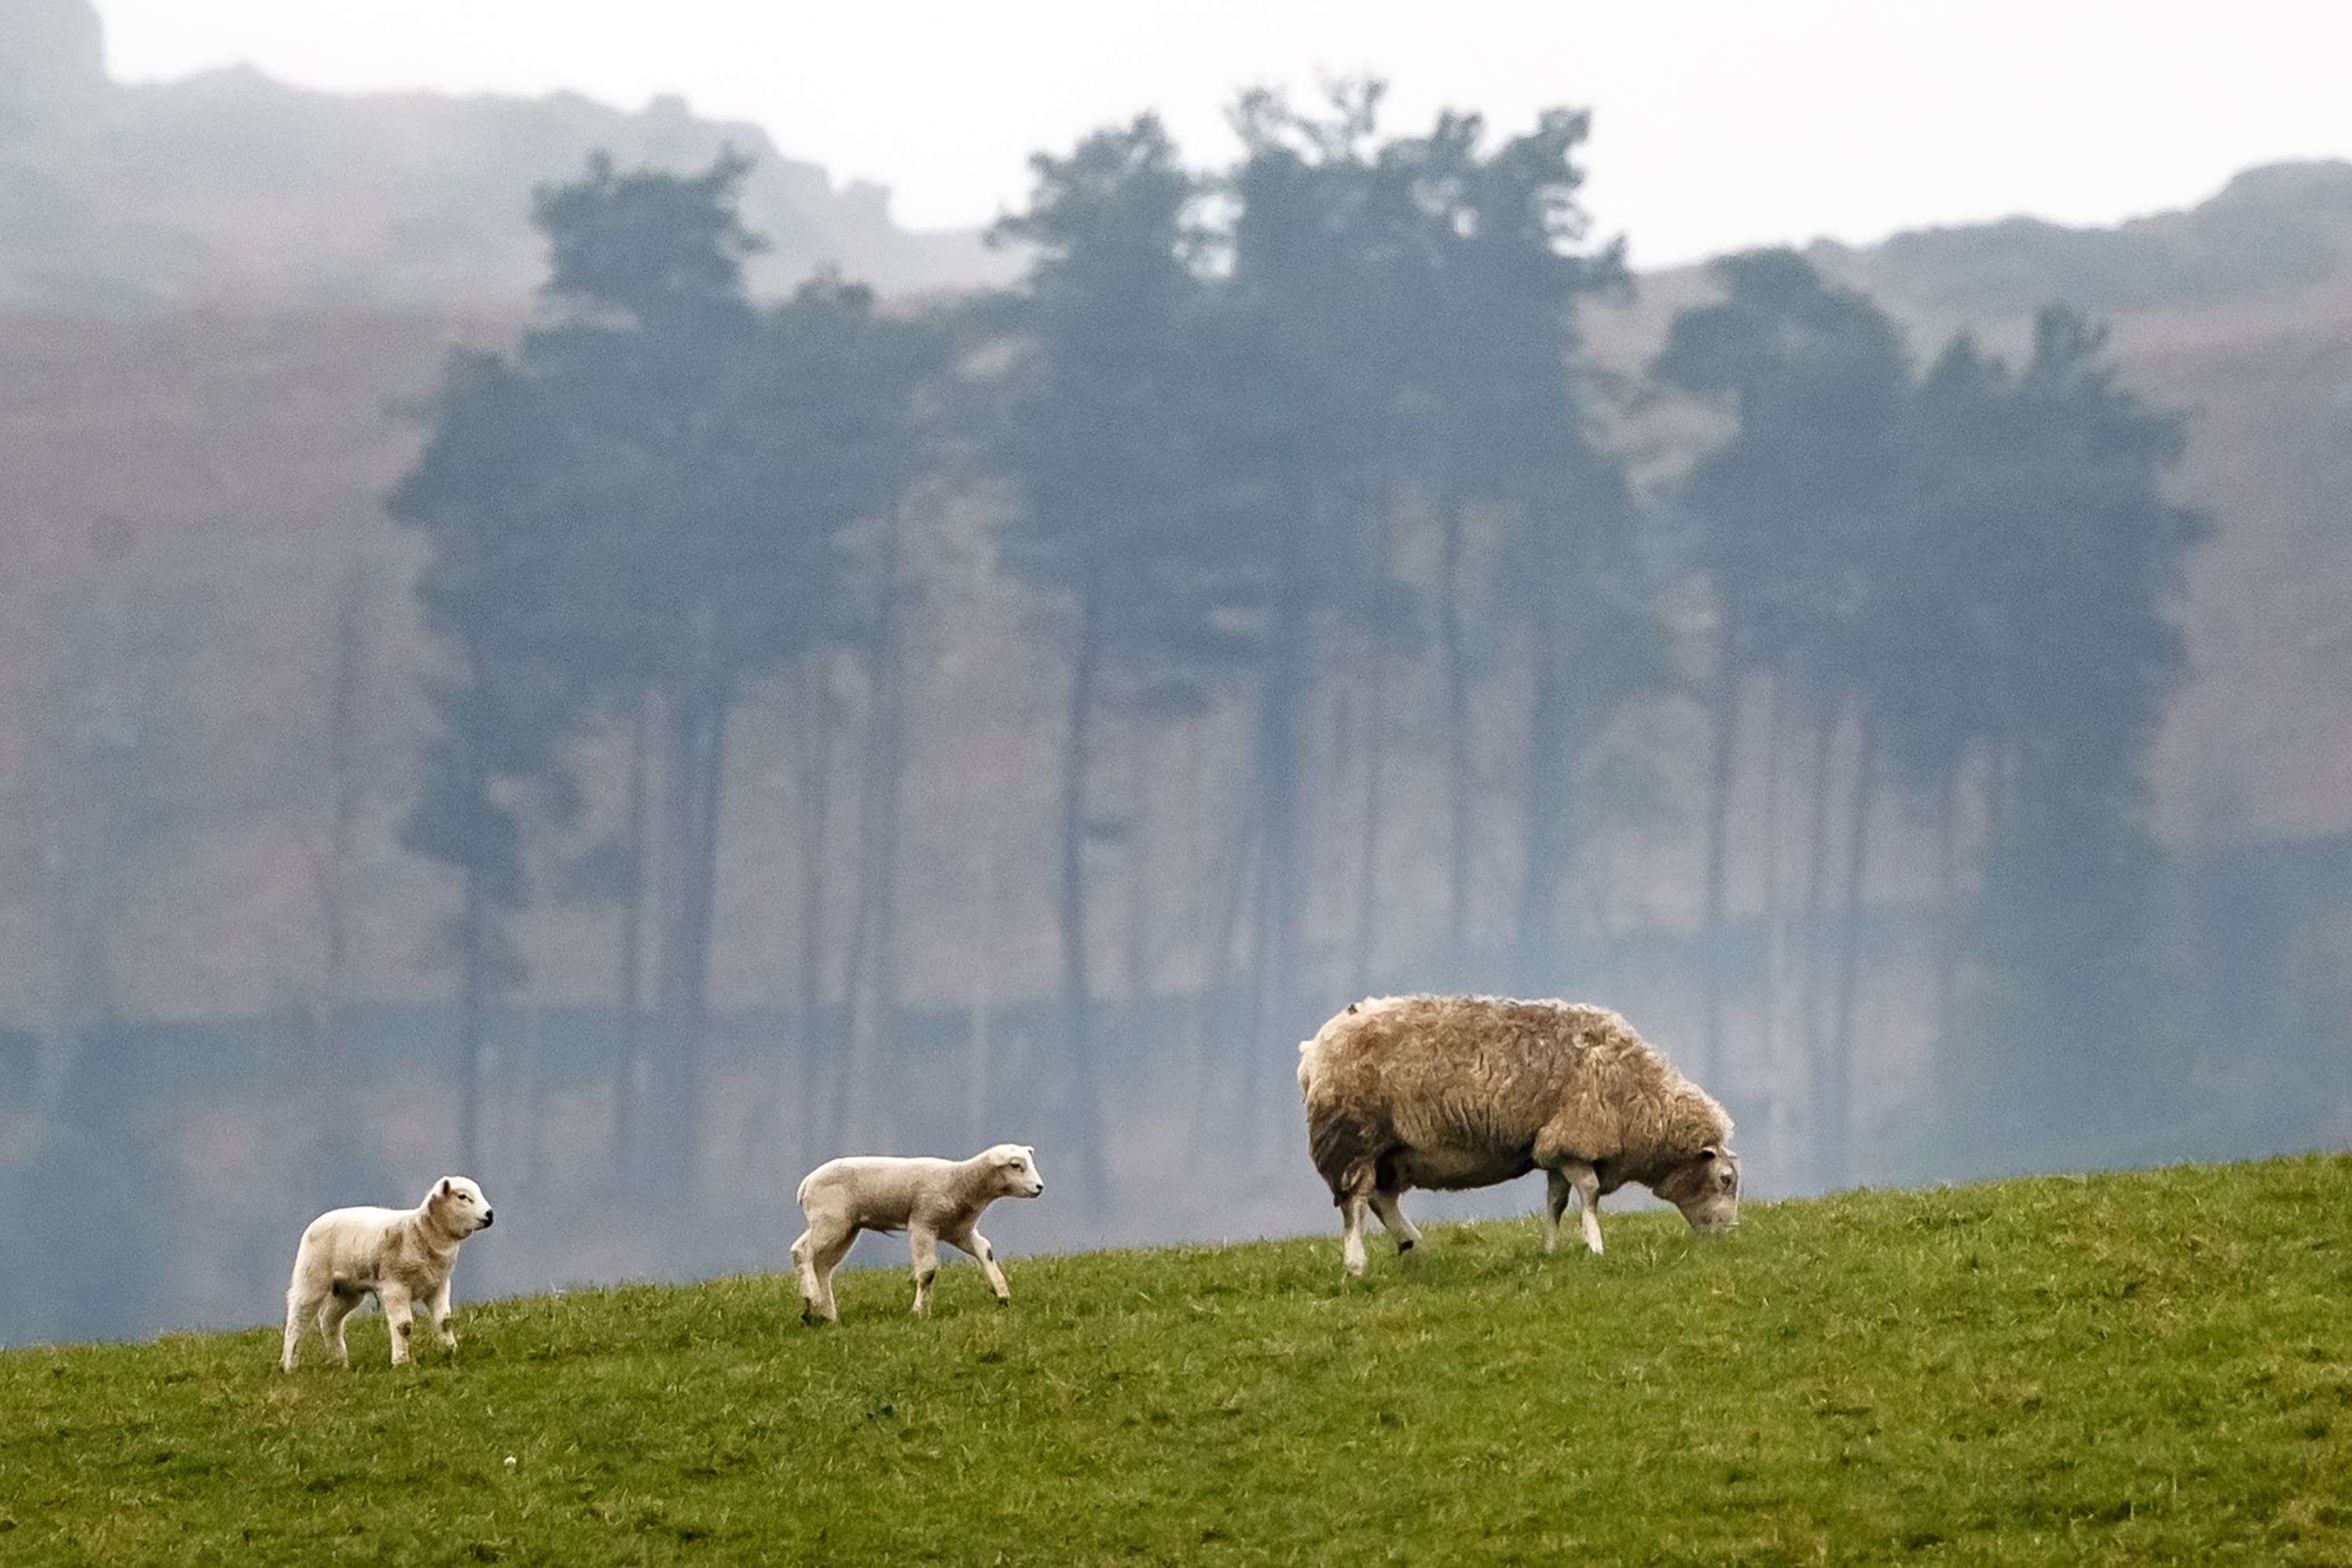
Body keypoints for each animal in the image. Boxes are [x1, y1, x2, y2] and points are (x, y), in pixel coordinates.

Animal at [277, 1171, 493, 1363]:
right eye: (463, 1197)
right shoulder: (395, 1285)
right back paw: (289, 1364)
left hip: (347, 1290)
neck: (419, 1232)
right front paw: (401, 1361)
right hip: (311, 1277)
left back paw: (340, 1363)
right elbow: (404, 1327)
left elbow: (444, 1321)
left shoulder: (438, 1285)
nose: (489, 1215)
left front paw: (451, 1351)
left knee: (329, 1320)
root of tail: (317, 1222)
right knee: (297, 1320)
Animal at [794, 1142, 1044, 1325]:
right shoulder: (922, 1224)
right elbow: (927, 1272)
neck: (960, 1181)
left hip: (846, 1228)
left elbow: (985, 1250)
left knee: (822, 1266)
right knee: (801, 1251)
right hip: (830, 1220)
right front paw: (919, 1311)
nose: (1040, 1187)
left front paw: (1002, 1294)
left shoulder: (958, 1230)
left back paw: (822, 1313)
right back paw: (811, 1297)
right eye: (1016, 1165)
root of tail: (806, 1184)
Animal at [1298, 1001, 1740, 1278]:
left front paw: (1550, 1248)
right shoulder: (1577, 1136)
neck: (1639, 1099)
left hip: (1391, 1150)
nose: (1730, 1236)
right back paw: (1356, 1264)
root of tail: (1315, 1048)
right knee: (1355, 1202)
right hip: (1353, 1137)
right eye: (1726, 1180)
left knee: (1380, 1197)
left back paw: (1412, 1245)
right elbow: (1590, 1192)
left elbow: (1557, 1200)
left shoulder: (1555, 1146)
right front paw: (1595, 1245)